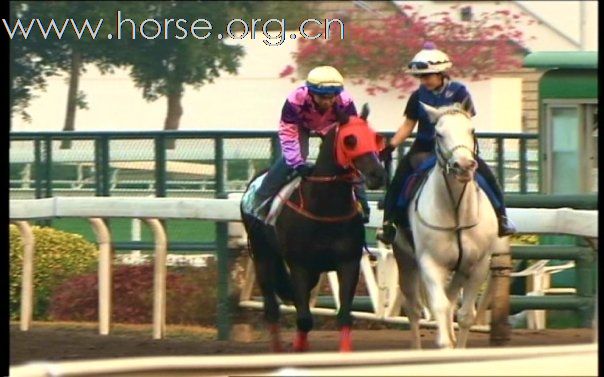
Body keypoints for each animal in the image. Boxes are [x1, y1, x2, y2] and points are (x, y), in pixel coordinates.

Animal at [239, 105, 384, 350]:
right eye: (350, 140)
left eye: (375, 137)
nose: (378, 175)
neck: (325, 209)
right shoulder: (300, 265)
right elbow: (304, 319)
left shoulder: (348, 263)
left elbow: (344, 317)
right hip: (263, 256)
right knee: (272, 309)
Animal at [392, 101, 510, 348]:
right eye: (439, 133)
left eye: (472, 130)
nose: (463, 165)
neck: (456, 213)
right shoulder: (430, 264)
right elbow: (439, 307)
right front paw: (445, 344)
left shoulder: (478, 266)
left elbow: (464, 315)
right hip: (405, 260)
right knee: (414, 309)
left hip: (459, 270)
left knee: (450, 298)